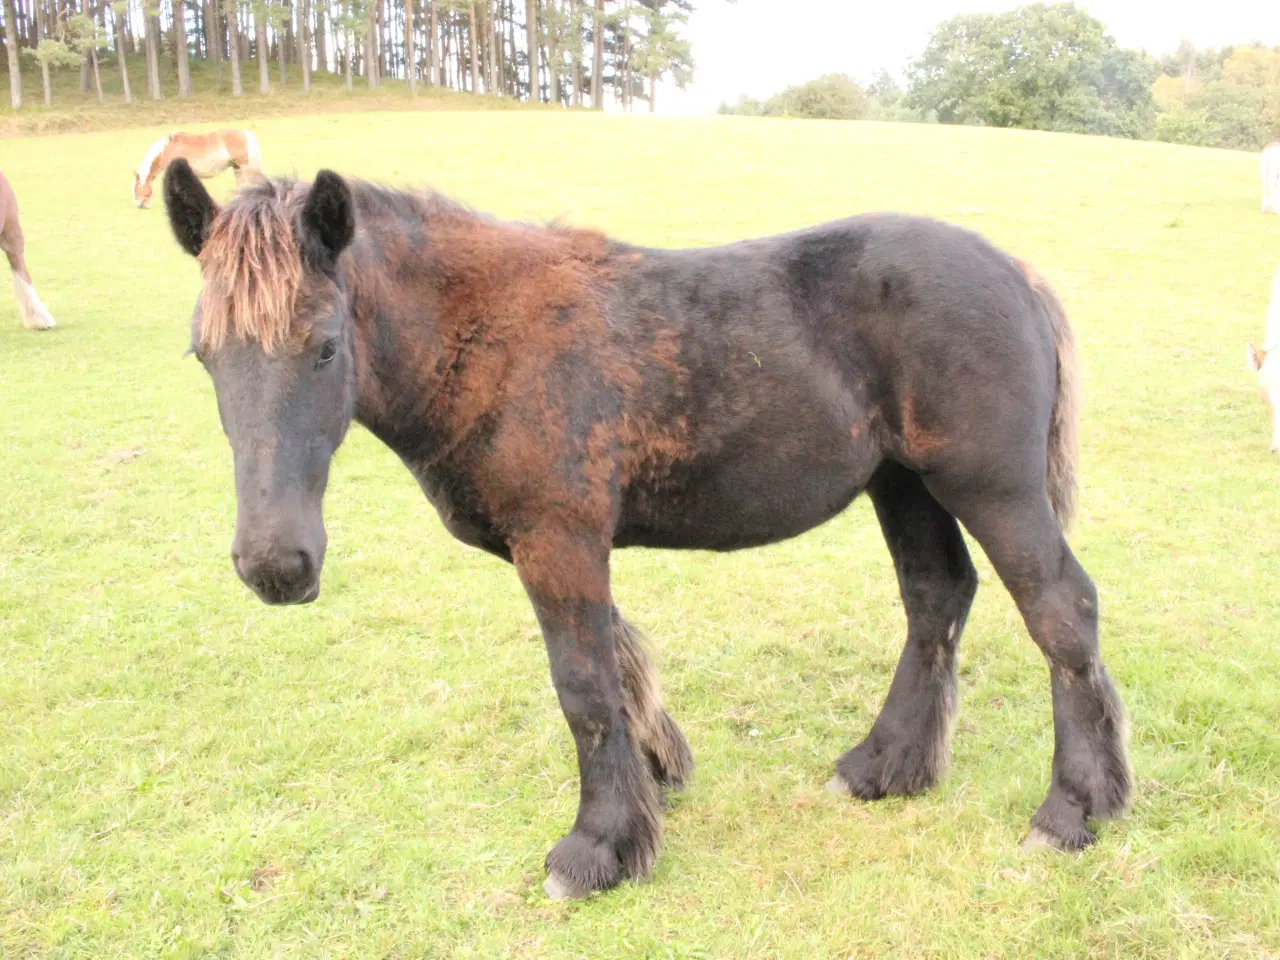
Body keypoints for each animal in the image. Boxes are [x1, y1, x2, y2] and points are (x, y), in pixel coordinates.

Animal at [162, 158, 1131, 901]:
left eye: (324, 345)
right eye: (203, 355)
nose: (275, 565)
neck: (490, 336)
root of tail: (1015, 273)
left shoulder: (558, 542)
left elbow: (584, 689)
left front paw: (598, 847)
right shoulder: (563, 547)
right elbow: (620, 669)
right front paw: (655, 781)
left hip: (990, 487)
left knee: (1061, 611)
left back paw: (1073, 809)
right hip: (905, 485)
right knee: (937, 599)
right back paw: (883, 767)